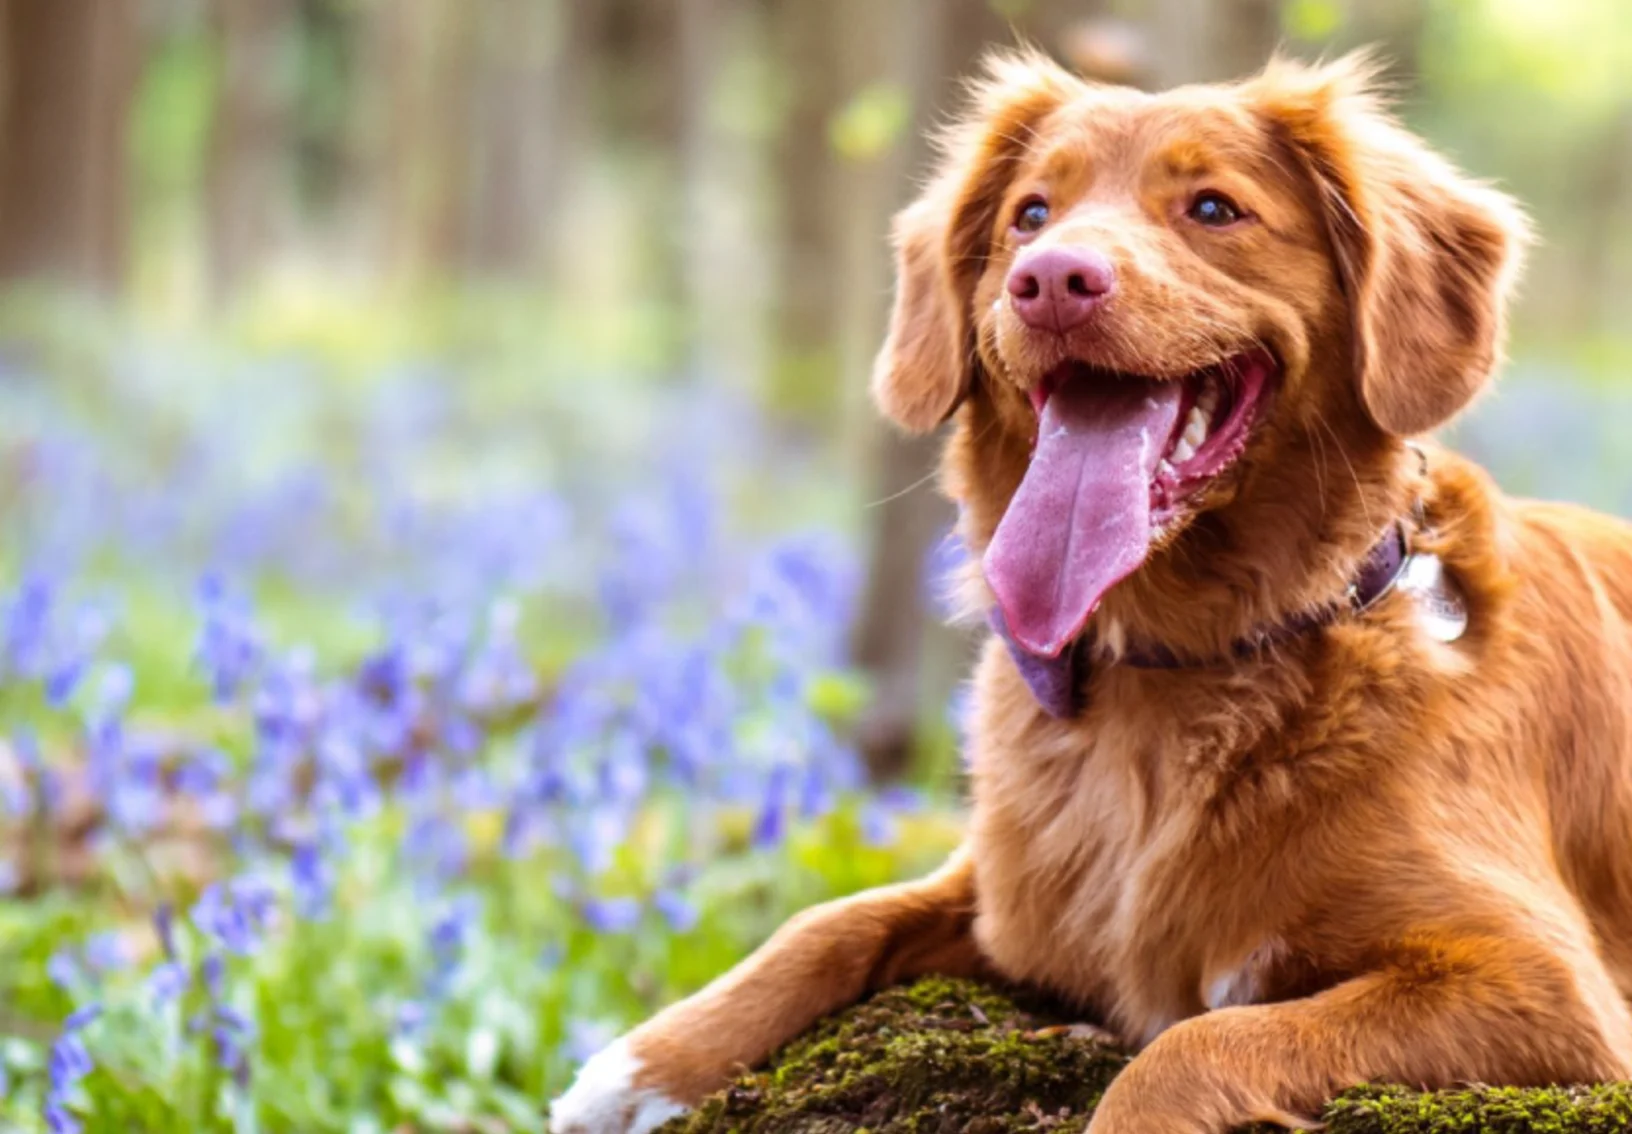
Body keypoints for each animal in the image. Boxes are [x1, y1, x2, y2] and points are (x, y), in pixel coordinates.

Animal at [551, 48, 1632, 1129]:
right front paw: (641, 1063)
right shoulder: (1010, 896)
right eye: (1029, 215)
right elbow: (830, 919)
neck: (1179, 665)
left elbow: (1192, 1043)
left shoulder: (1545, 989)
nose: (1052, 281)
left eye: (1213, 208)